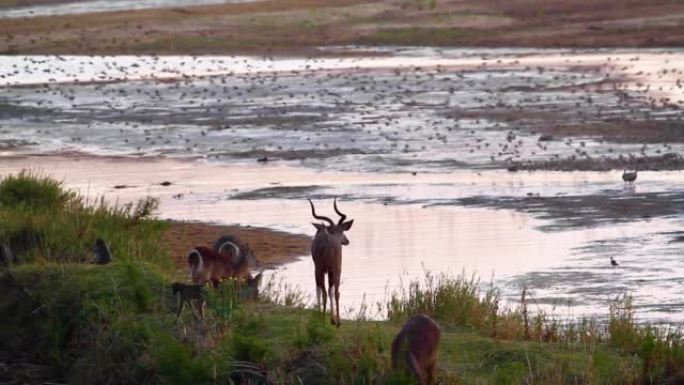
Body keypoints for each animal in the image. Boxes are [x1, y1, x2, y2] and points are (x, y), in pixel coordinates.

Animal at [308, 196, 356, 326]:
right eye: (342, 231)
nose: (347, 241)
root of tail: (327, 242)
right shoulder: (329, 269)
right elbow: (327, 290)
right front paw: (331, 318)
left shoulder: (322, 269)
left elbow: (322, 289)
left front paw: (328, 318)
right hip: (334, 269)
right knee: (334, 291)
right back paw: (336, 320)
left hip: (323, 269)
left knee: (327, 291)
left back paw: (328, 318)